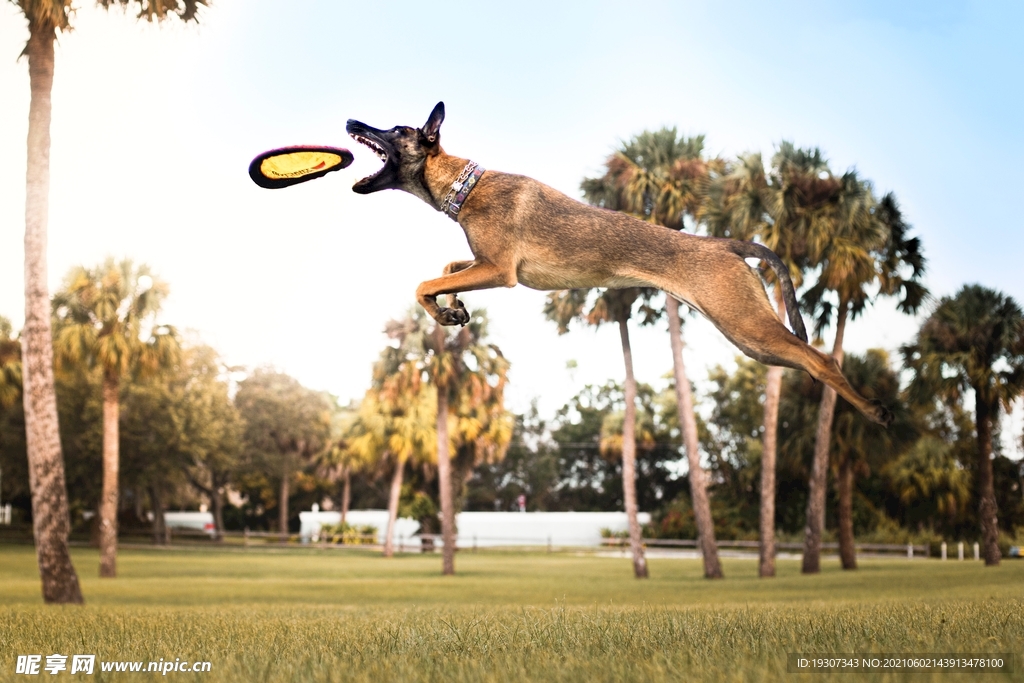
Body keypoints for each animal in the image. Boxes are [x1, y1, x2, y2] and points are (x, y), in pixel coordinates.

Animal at [344, 102, 888, 423]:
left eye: (396, 129)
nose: (351, 122)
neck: (467, 184)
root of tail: (726, 245)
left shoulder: (499, 272)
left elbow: (422, 282)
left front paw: (443, 308)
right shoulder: (484, 264)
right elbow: (443, 270)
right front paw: (452, 310)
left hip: (747, 324)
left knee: (821, 358)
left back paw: (874, 409)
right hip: (749, 338)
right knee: (809, 361)